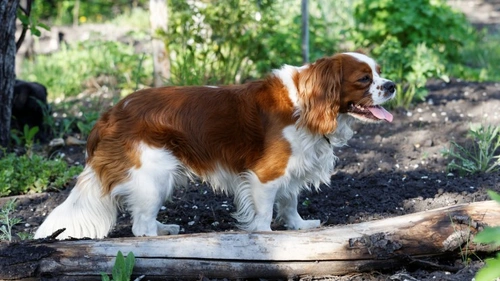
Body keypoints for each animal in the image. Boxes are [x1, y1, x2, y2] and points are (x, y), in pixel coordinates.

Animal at [34, 52, 394, 238]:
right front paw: (267, 239)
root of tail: (108, 114)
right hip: (155, 174)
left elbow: (290, 202)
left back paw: (165, 229)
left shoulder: (292, 168)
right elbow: (265, 212)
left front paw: (298, 226)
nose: (392, 85)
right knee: (140, 227)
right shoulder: (265, 175)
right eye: (364, 79)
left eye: (380, 72)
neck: (306, 103)